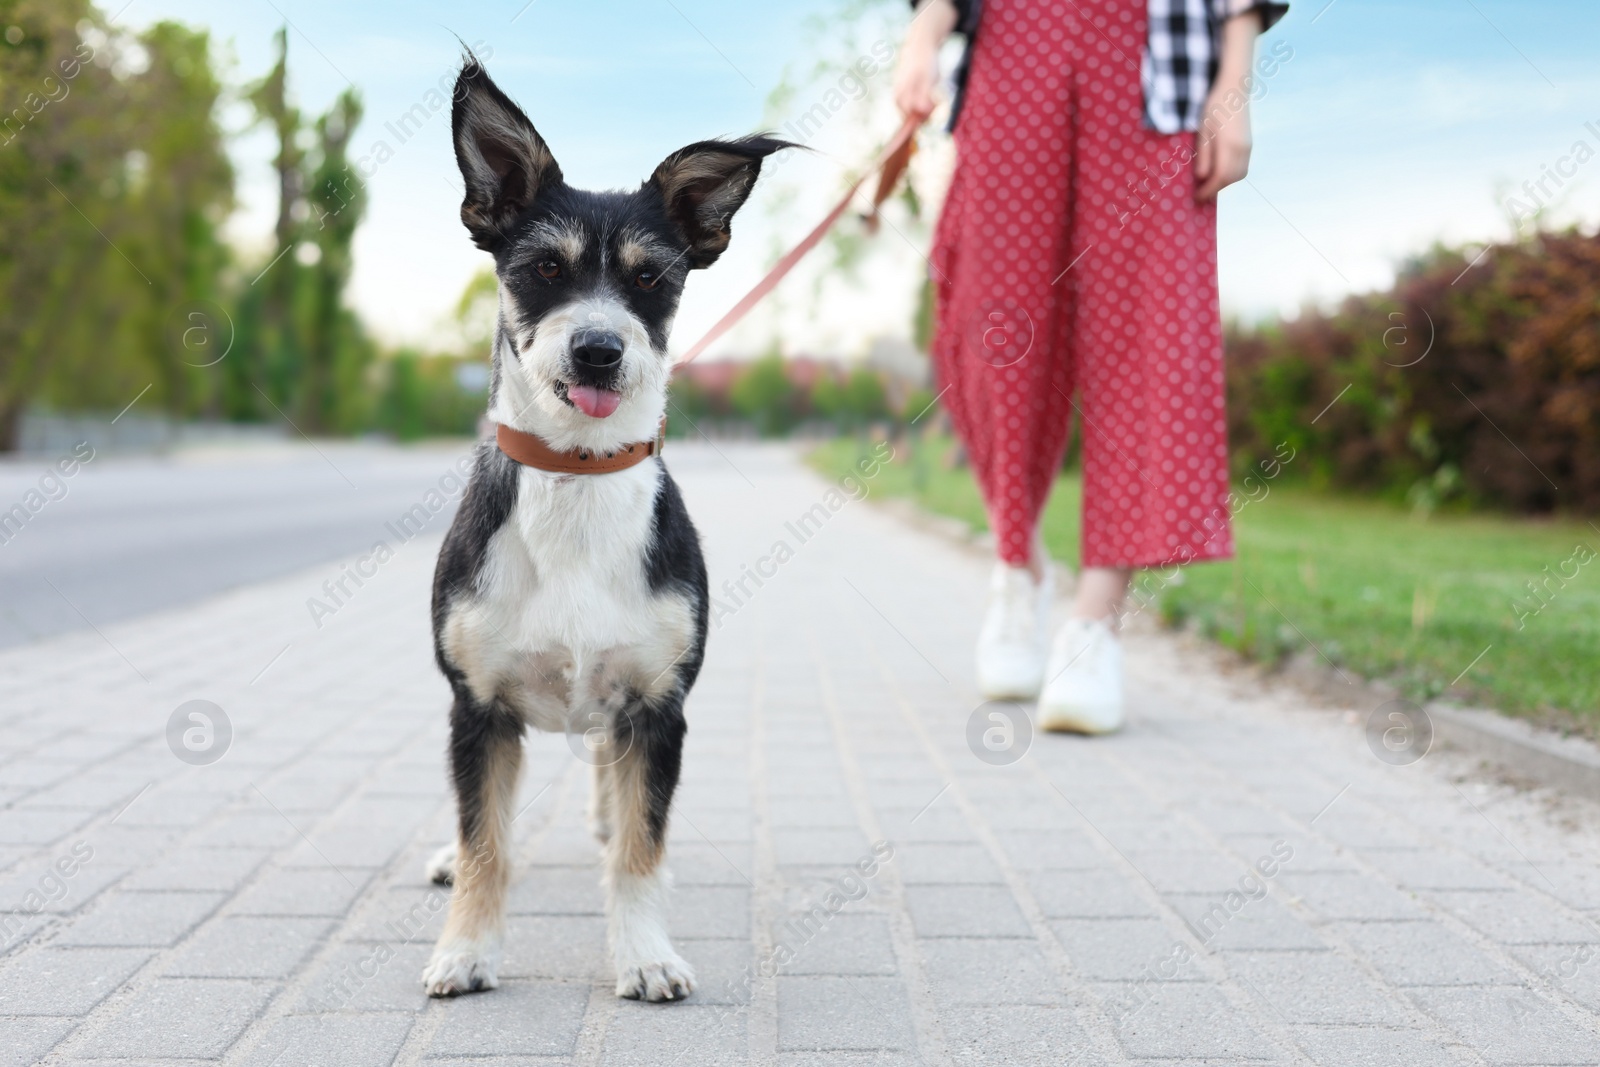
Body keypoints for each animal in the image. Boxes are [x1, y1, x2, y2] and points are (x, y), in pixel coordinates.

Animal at [416, 60, 784, 1004]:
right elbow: (485, 840)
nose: (597, 349)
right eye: (545, 267)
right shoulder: (476, 710)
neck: (577, 480)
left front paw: (647, 952)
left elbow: (640, 848)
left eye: (652, 279)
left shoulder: (657, 712)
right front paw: (465, 950)